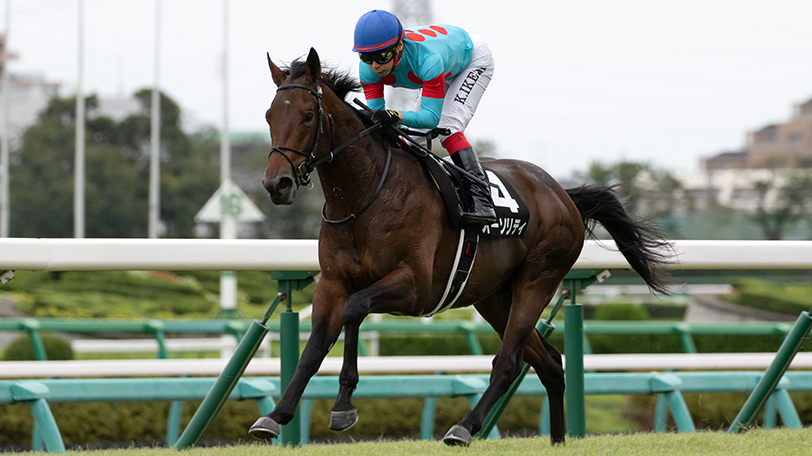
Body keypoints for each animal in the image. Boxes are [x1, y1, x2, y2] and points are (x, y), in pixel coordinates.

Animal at [251, 48, 671, 446]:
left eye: (308, 116)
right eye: (269, 116)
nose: (277, 184)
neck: (365, 196)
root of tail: (561, 193)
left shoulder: (415, 287)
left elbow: (354, 310)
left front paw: (343, 406)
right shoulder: (332, 282)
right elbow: (312, 349)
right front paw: (275, 415)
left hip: (538, 278)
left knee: (510, 361)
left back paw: (464, 427)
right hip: (493, 296)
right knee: (549, 362)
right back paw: (557, 440)